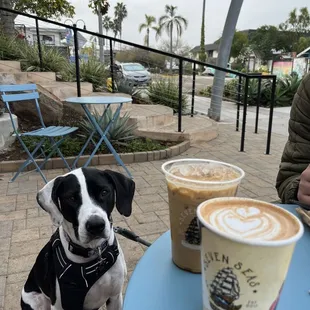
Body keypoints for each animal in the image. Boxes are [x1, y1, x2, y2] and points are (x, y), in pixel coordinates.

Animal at [20, 168, 134, 308]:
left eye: (104, 192)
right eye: (71, 198)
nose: (96, 225)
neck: (94, 254)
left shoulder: (115, 297)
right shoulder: (61, 305)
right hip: (37, 301)